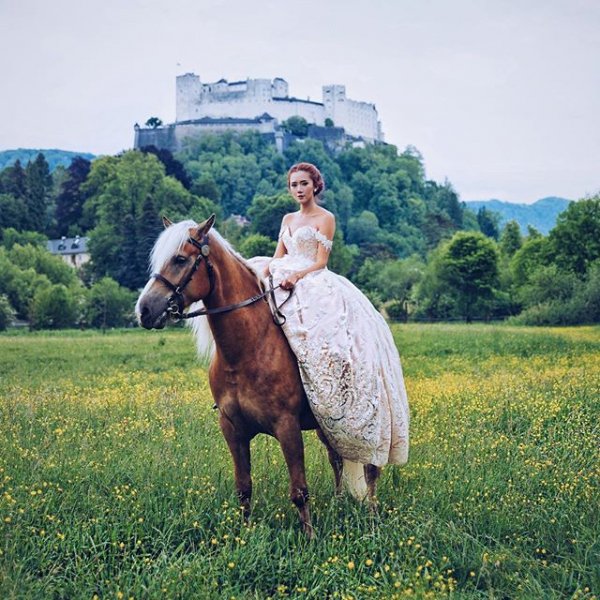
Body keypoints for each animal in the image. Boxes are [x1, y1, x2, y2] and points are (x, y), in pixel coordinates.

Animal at [136, 216, 380, 536]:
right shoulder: (232, 429)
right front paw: (245, 533)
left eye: (179, 259)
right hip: (327, 424)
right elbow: (244, 487)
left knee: (371, 468)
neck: (248, 349)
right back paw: (339, 502)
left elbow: (299, 490)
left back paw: (373, 516)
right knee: (337, 458)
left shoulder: (287, 427)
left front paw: (309, 536)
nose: (144, 310)